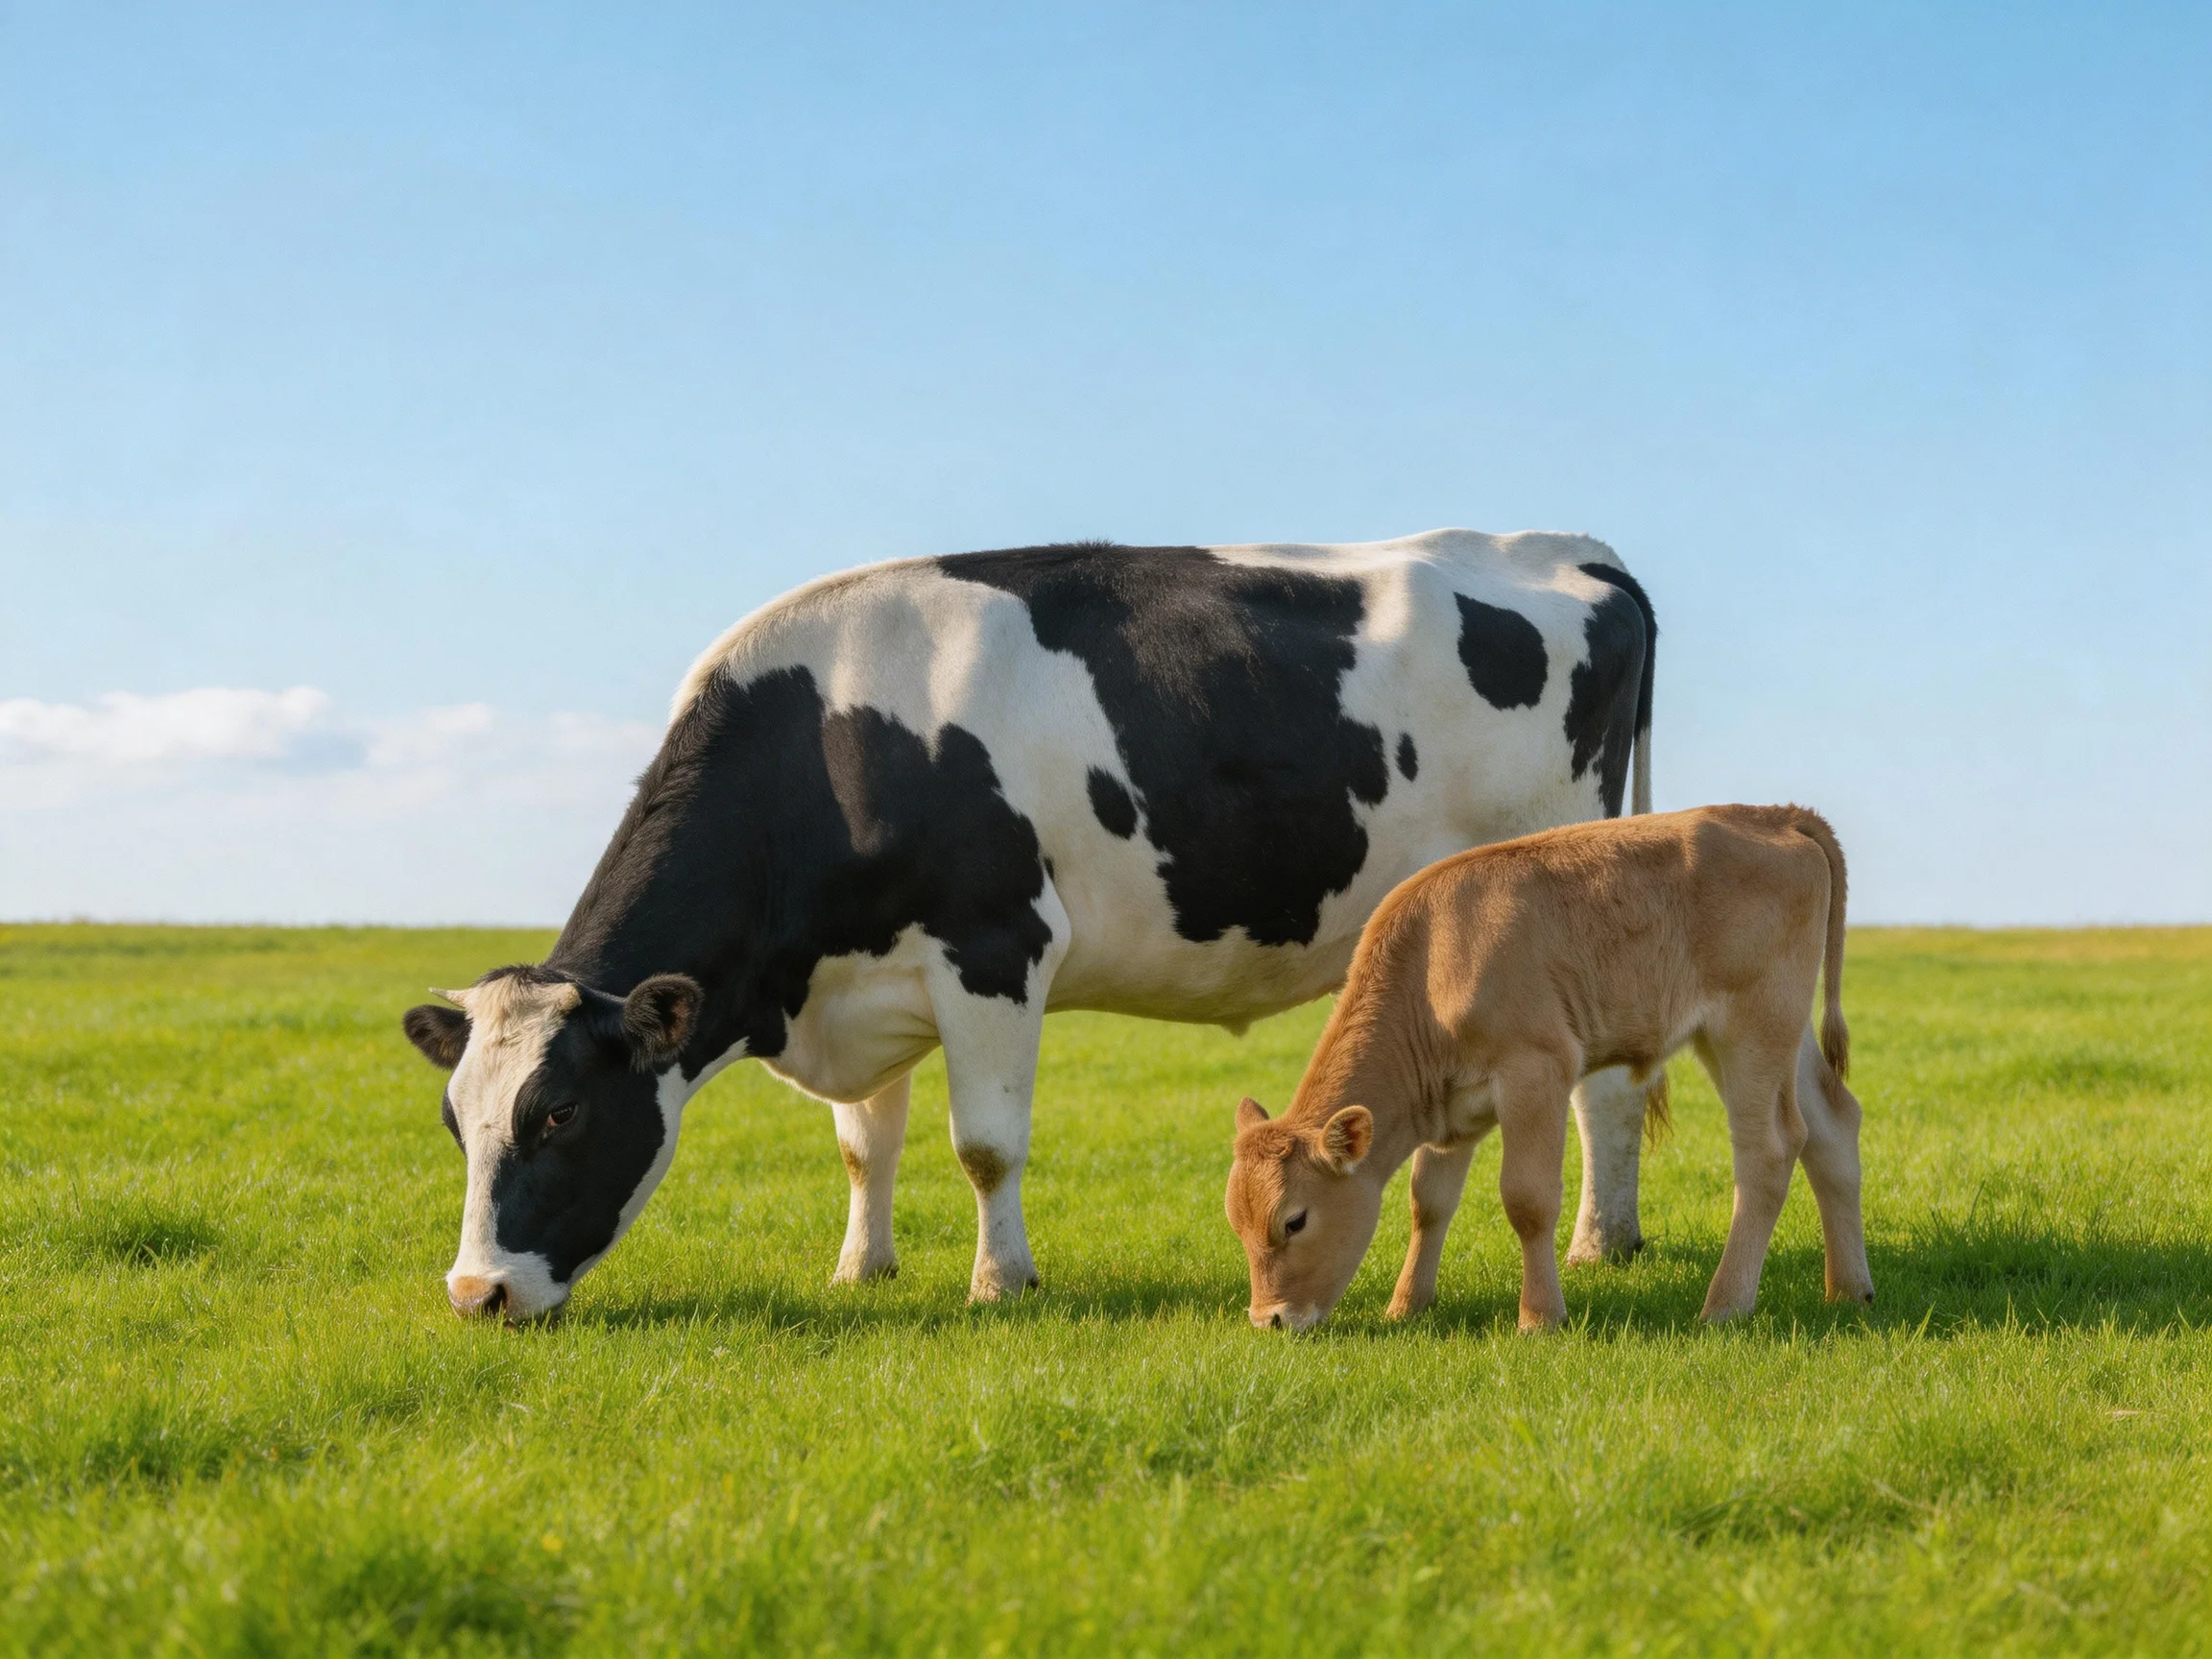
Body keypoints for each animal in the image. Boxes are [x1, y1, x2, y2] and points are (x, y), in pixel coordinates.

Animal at [401, 529, 1661, 1321]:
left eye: (559, 1114)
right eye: (459, 1123)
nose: (478, 1295)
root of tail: (1568, 549)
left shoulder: (995, 946)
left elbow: (984, 1145)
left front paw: (999, 1283)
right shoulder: (864, 976)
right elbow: (867, 1145)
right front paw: (861, 1269)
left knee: (1603, 1089)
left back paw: (1602, 1241)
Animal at [1225, 804, 1875, 1333]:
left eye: (1294, 1221)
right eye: (1237, 1223)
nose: (1269, 1320)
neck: (1432, 965)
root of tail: (1774, 814)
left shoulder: (1536, 1072)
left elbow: (1528, 1198)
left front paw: (1539, 1317)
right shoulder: (1452, 1110)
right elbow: (1428, 1201)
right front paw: (1407, 1305)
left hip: (1751, 1028)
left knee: (1768, 1150)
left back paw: (1725, 1305)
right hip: (1780, 1036)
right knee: (1832, 1125)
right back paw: (1849, 1290)